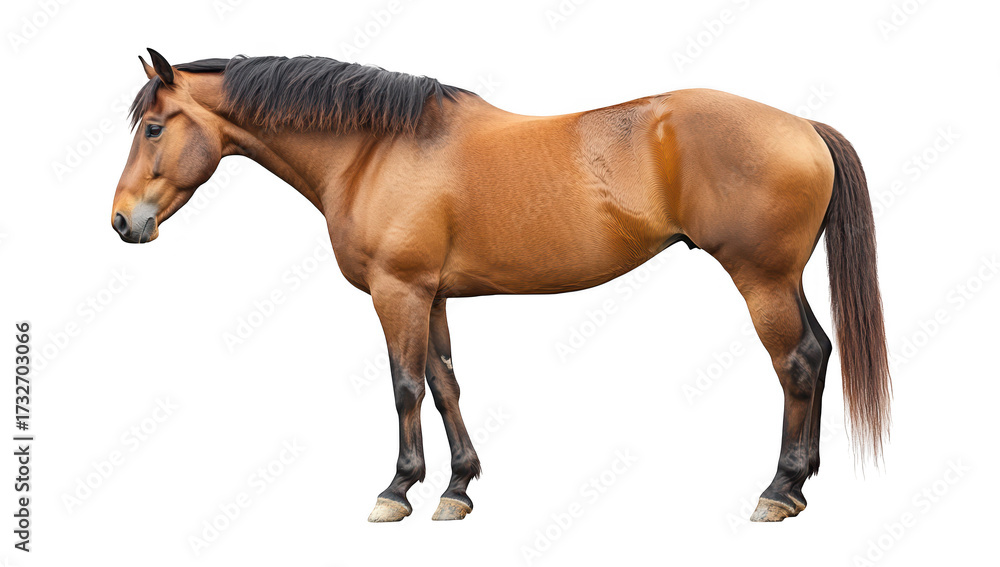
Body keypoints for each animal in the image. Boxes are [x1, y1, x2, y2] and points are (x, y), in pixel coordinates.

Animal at [112, 49, 890, 523]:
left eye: (153, 127)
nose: (123, 221)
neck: (375, 149)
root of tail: (803, 126)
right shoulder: (431, 294)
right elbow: (445, 383)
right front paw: (458, 487)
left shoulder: (397, 291)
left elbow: (405, 386)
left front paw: (396, 489)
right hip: (783, 278)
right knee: (819, 352)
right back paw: (802, 482)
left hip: (761, 279)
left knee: (795, 363)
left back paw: (778, 489)